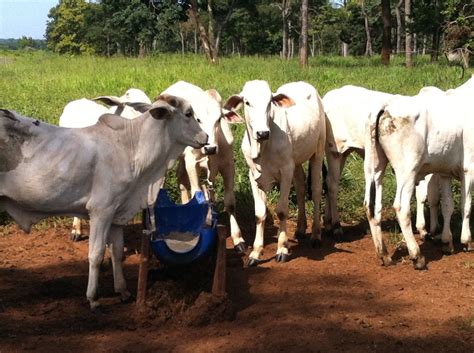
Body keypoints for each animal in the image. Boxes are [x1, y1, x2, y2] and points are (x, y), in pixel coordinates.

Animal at [161, 82, 246, 253]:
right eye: (198, 119)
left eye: (219, 119)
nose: (210, 148)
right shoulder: (192, 164)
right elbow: (197, 193)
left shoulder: (228, 165)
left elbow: (230, 202)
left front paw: (238, 239)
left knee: (182, 179)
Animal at [223, 81, 326, 266]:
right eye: (247, 102)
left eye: (269, 102)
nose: (262, 133)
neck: (263, 147)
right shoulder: (254, 175)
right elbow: (259, 214)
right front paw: (256, 252)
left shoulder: (285, 171)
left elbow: (282, 211)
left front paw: (282, 248)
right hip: (296, 162)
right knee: (300, 188)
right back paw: (300, 228)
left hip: (318, 151)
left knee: (315, 191)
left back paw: (315, 235)